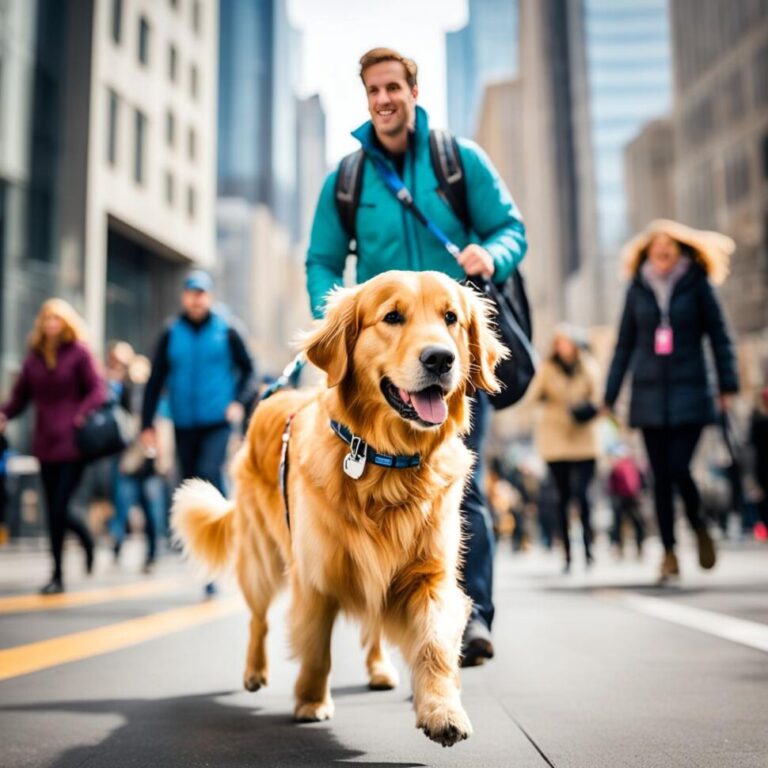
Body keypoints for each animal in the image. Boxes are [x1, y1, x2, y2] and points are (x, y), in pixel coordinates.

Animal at [175, 268, 510, 744]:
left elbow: (433, 644)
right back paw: (255, 672)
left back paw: (380, 670)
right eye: (392, 317)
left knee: (373, 629)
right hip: (260, 558)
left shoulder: (428, 573)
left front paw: (442, 712)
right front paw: (311, 703)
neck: (386, 462)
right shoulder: (315, 574)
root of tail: (270, 398)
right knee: (258, 618)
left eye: (451, 318)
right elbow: (316, 649)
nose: (441, 359)